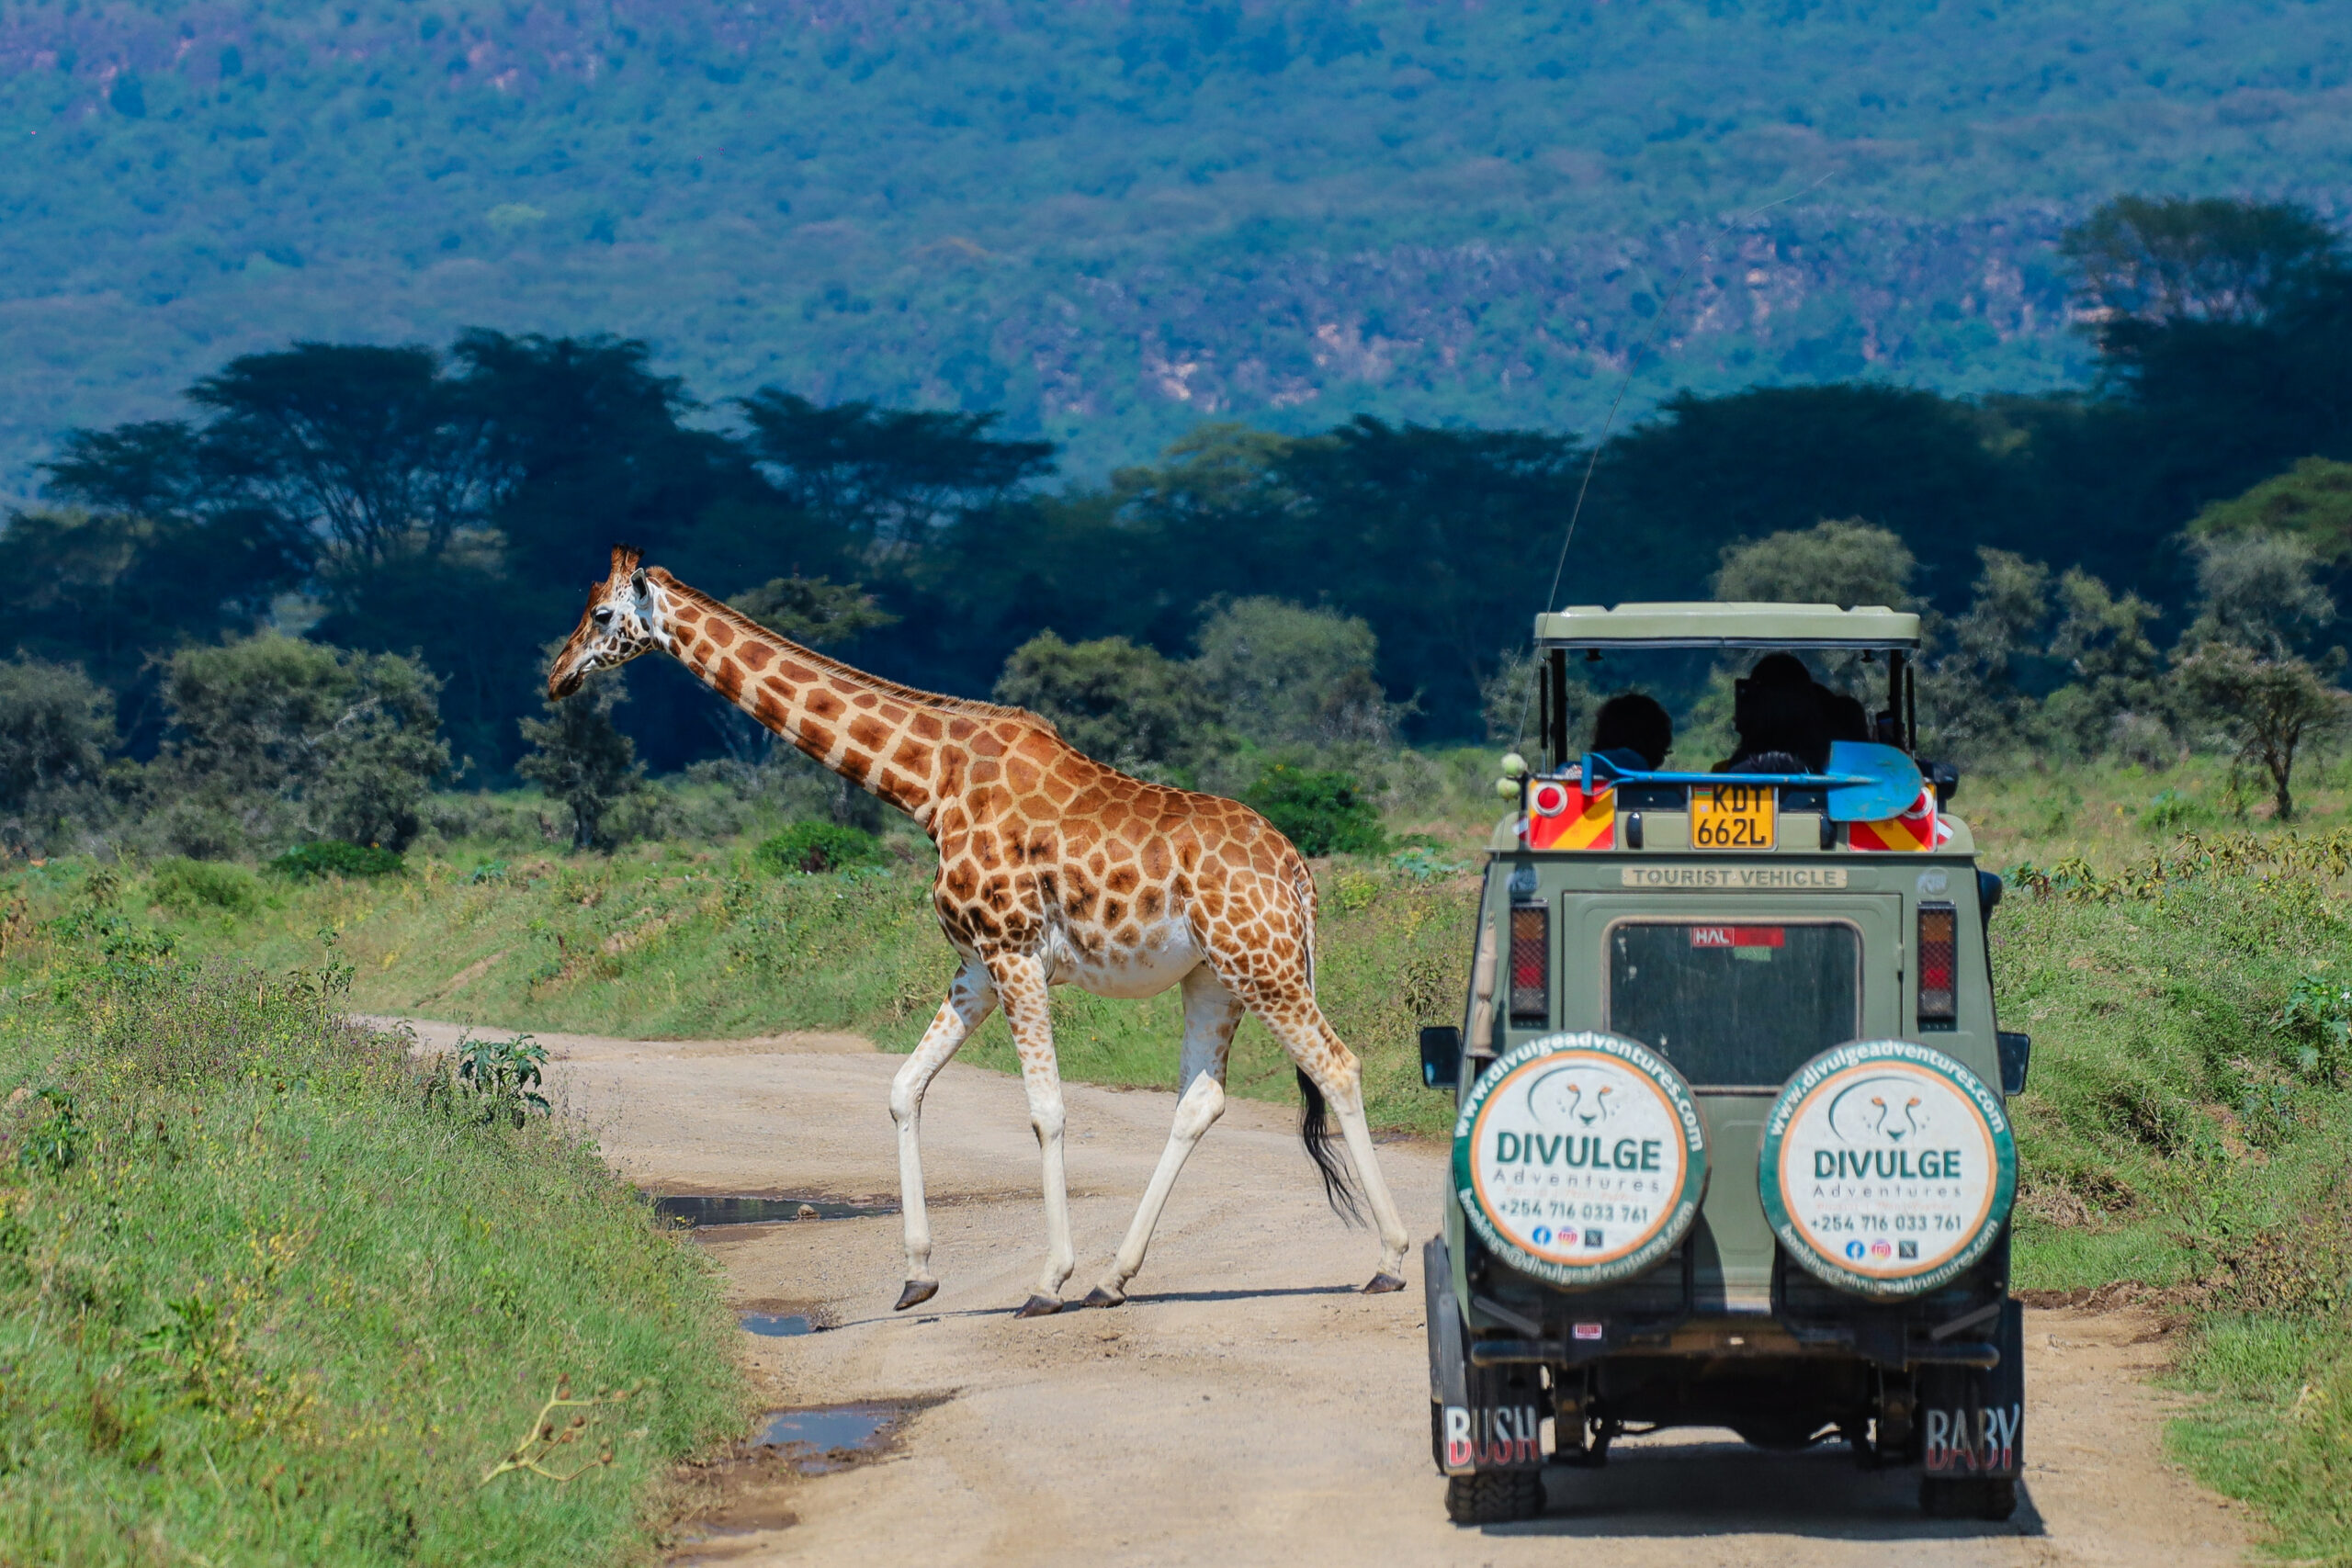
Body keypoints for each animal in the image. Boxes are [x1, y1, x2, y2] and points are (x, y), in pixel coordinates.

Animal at [548, 546, 1412, 1315]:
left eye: (602, 615)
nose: (557, 674)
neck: (926, 783)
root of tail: (1297, 871)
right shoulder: (974, 964)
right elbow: (903, 1087)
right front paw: (917, 1275)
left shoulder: (1014, 951)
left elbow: (1046, 1109)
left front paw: (1046, 1281)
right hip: (1213, 976)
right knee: (1199, 1100)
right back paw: (1114, 1278)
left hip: (1263, 960)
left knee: (1338, 1065)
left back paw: (1389, 1260)